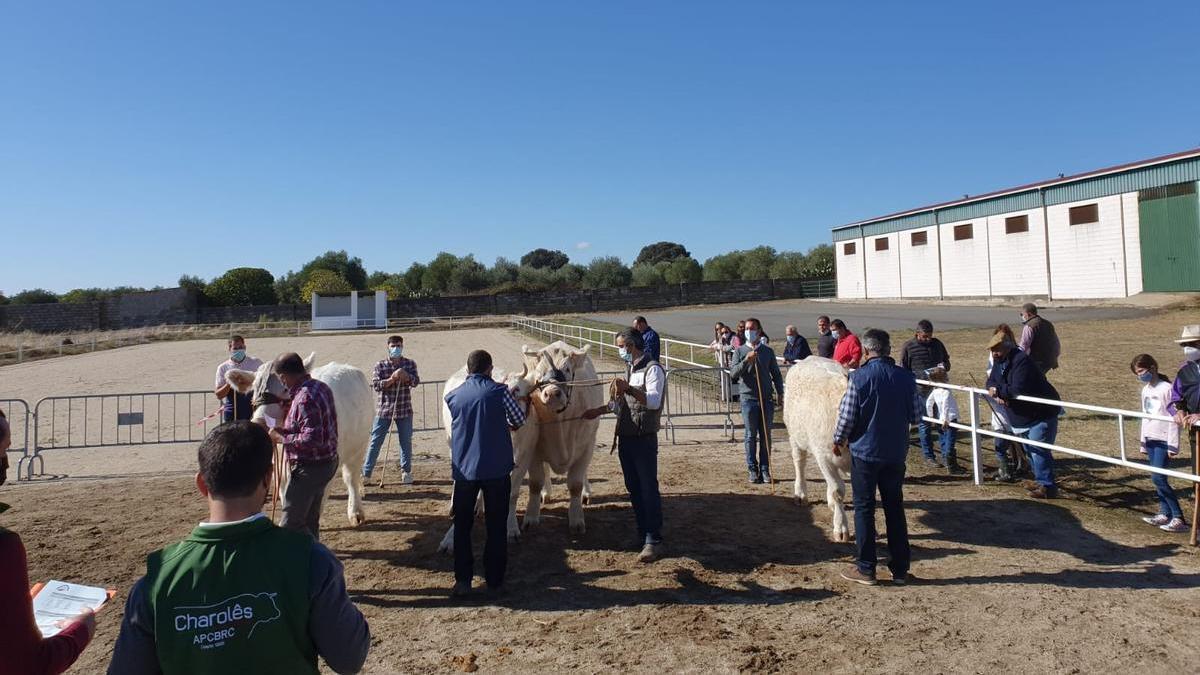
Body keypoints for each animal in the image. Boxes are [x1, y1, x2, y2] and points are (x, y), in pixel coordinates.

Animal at [225, 353, 369, 526]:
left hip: (359, 448)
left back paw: (356, 512)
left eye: (285, 388)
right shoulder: (280, 473)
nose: (260, 423)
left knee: (351, 478)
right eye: (255, 389)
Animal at [777, 355, 854, 538]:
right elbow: (837, 490)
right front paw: (841, 527)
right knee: (799, 463)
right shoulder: (824, 457)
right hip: (795, 436)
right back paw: (800, 494)